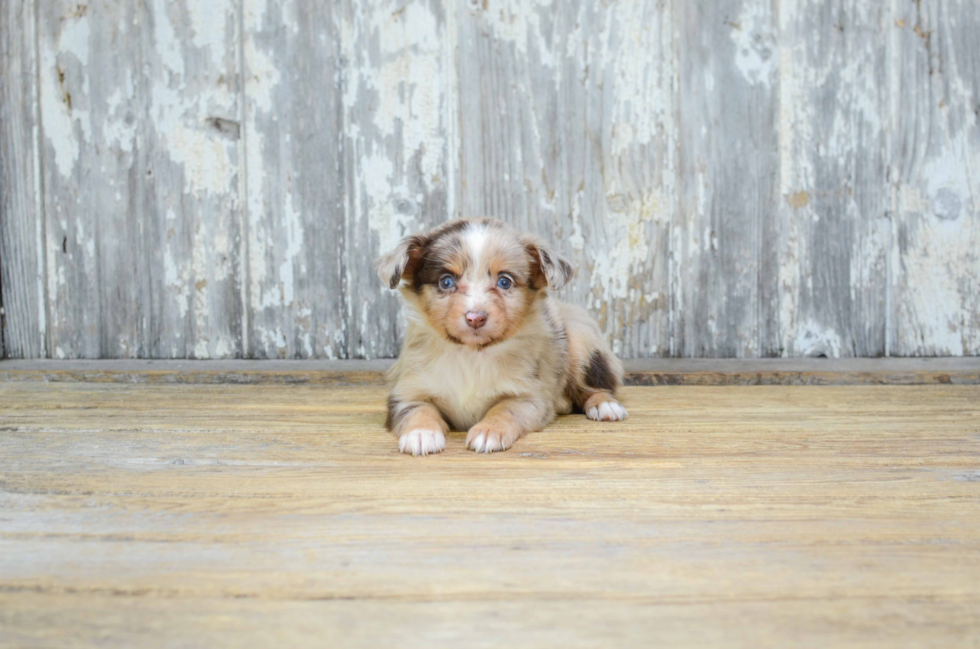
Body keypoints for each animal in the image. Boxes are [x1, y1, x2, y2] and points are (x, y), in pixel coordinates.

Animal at [376, 218, 628, 456]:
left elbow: (504, 409)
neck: (471, 355)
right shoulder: (406, 392)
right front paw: (421, 433)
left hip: (580, 340)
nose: (475, 318)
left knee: (596, 385)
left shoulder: (529, 396)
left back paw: (605, 406)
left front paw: (489, 431)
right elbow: (418, 410)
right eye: (446, 281)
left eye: (504, 281)